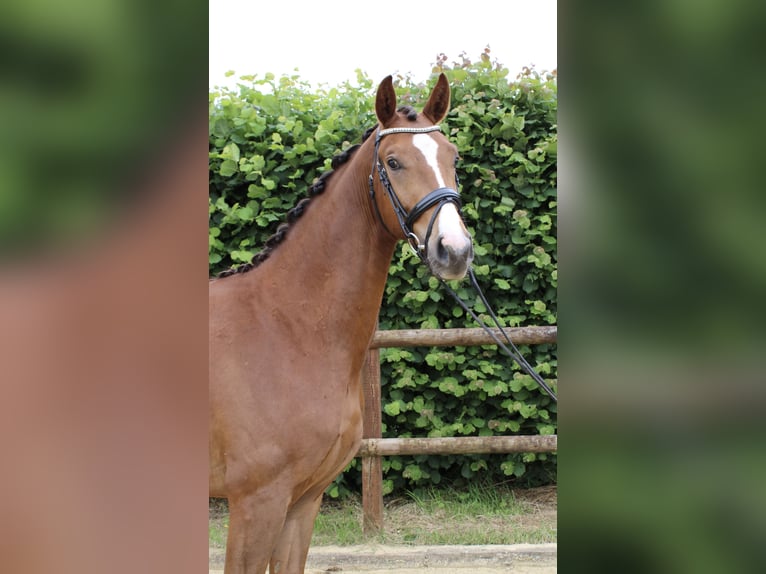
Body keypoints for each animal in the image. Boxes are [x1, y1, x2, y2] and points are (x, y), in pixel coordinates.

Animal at [209, 73, 474, 574]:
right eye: (393, 162)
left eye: (453, 157)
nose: (455, 251)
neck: (286, 326)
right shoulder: (256, 503)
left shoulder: (302, 502)